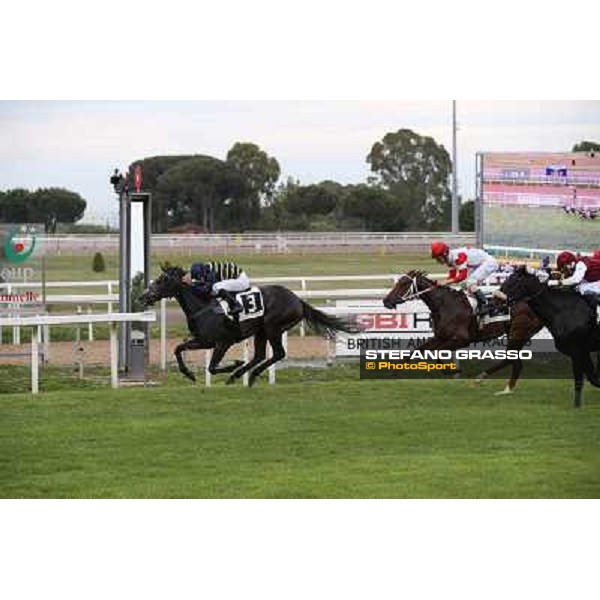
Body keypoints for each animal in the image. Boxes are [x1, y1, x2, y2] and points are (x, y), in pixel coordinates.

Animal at [141, 264, 360, 386]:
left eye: (162, 280)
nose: (144, 295)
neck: (203, 306)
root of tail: (297, 300)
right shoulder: (204, 341)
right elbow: (178, 348)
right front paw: (189, 374)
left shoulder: (223, 342)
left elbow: (212, 367)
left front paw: (234, 364)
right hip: (261, 331)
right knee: (260, 355)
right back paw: (242, 375)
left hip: (273, 327)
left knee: (278, 354)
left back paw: (246, 373)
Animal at [384, 270, 544, 394]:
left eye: (404, 283)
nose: (386, 301)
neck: (446, 305)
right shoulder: (440, 336)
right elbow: (417, 350)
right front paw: (395, 372)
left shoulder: (462, 339)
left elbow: (437, 353)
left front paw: (453, 371)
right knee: (515, 362)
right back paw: (506, 389)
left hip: (518, 331)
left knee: (511, 360)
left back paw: (482, 379)